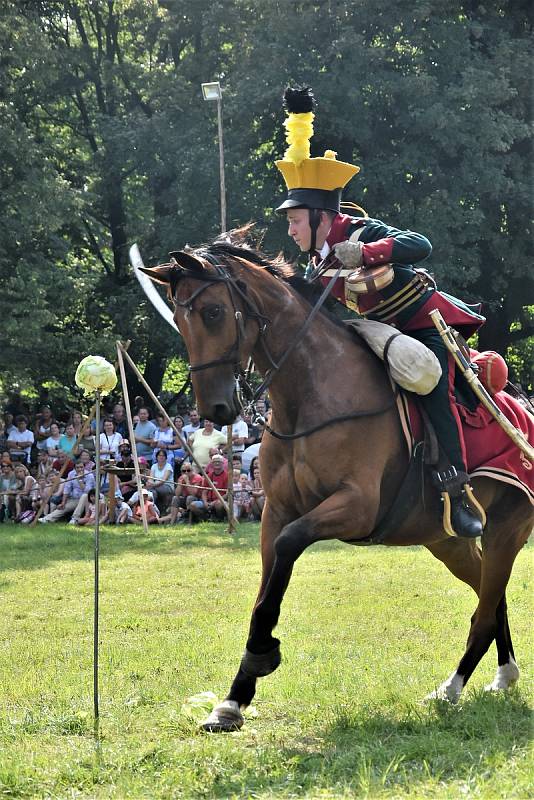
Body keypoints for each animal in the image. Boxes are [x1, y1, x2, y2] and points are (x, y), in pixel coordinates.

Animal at [140, 231, 532, 732]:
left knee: (484, 610)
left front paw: (261, 654)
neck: (309, 394)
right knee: (490, 597)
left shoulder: (354, 508)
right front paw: (234, 697)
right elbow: (265, 589)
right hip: (447, 541)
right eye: (178, 318)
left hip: (506, 531)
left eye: (212, 312)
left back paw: (452, 688)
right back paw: (502, 675)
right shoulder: (276, 512)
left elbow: (289, 547)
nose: (216, 410)